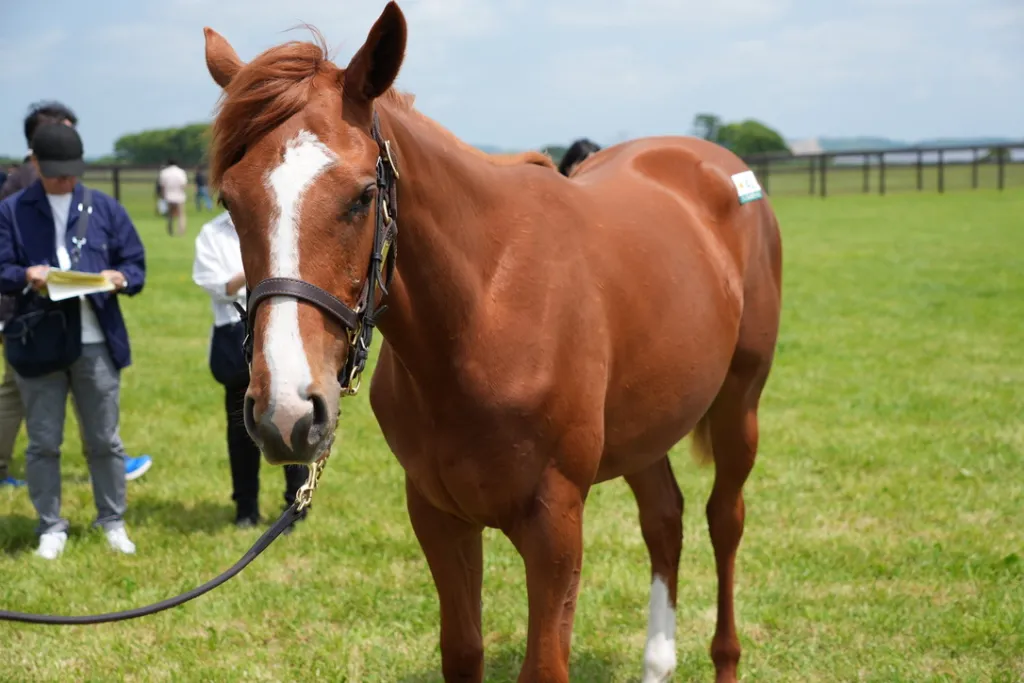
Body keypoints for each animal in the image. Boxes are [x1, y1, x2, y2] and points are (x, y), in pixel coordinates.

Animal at [201, 3, 782, 681]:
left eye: (363, 197)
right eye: (231, 201)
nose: (287, 412)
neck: (482, 315)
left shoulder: (555, 527)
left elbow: (544, 663)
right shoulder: (438, 517)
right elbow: (463, 650)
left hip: (740, 404)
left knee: (724, 520)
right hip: (647, 425)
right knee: (665, 519)